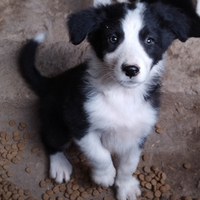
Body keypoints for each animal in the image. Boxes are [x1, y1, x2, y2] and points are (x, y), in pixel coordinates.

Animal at [19, 0, 200, 199]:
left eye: (149, 40)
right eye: (112, 39)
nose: (131, 69)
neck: (122, 95)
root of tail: (52, 82)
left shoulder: (138, 133)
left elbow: (129, 165)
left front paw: (125, 186)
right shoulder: (79, 122)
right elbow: (99, 154)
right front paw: (104, 176)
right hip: (57, 125)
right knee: (49, 138)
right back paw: (60, 165)